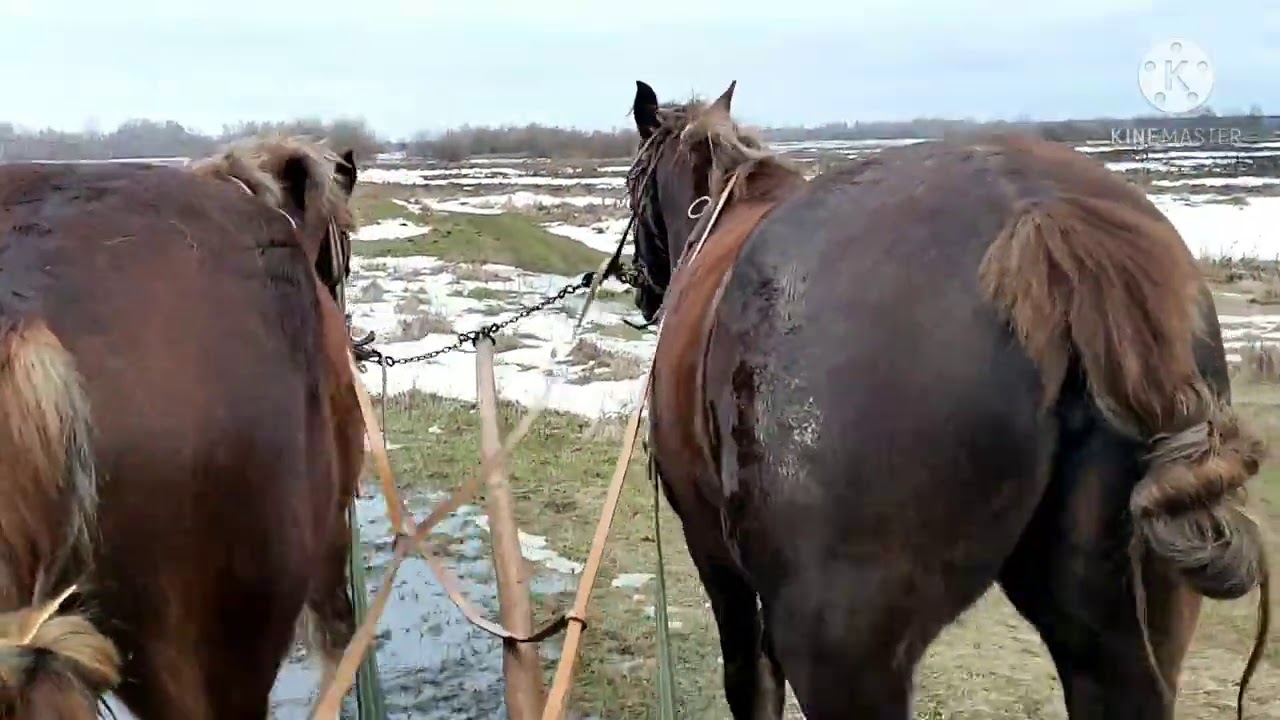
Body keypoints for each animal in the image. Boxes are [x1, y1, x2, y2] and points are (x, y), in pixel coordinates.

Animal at [628, 80, 1271, 719]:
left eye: (635, 181)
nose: (641, 288)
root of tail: (1049, 223)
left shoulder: (711, 548)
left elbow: (751, 678)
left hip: (842, 648)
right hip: (1121, 629)